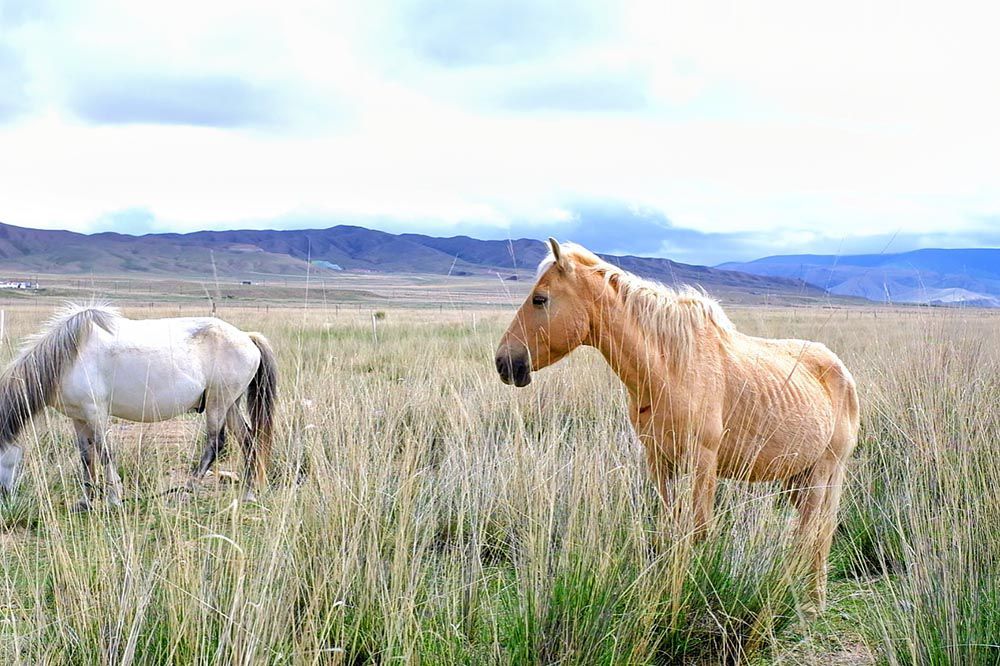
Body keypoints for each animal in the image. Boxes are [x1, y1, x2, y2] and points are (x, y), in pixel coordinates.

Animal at [0, 304, 278, 506]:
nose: (5, 499)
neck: (70, 357)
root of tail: (247, 337)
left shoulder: (95, 413)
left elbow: (105, 453)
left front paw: (113, 498)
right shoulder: (78, 417)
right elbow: (86, 457)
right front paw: (86, 501)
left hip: (218, 405)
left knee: (215, 444)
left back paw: (185, 492)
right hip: (229, 405)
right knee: (248, 442)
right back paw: (248, 494)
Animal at [496, 239, 856, 608]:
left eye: (540, 299)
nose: (505, 363)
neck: (670, 368)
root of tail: (842, 371)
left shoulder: (702, 461)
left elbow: (698, 530)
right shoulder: (659, 459)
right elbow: (669, 529)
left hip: (825, 472)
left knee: (815, 531)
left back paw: (809, 601)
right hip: (797, 477)